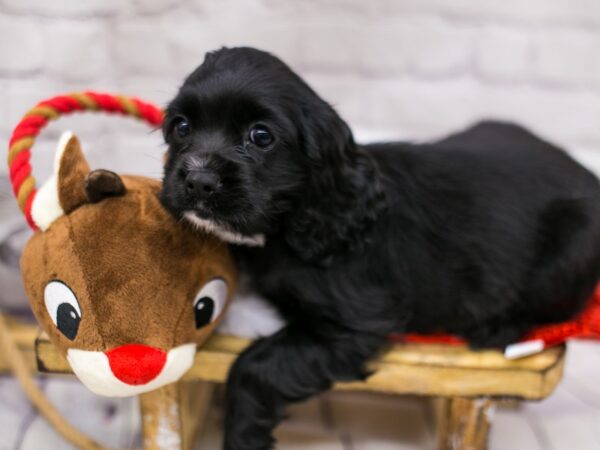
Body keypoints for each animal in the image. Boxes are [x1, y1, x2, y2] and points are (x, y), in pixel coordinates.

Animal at [158, 47, 600, 448]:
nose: (197, 181)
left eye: (261, 136)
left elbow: (255, 365)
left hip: (572, 250)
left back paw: (493, 327)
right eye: (181, 127)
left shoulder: (355, 324)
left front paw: (243, 435)